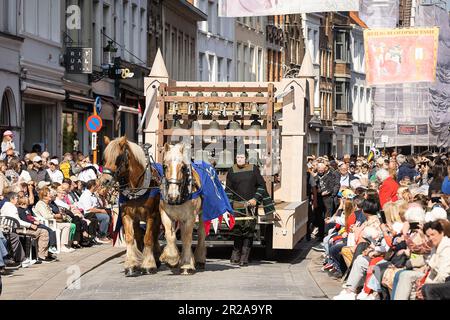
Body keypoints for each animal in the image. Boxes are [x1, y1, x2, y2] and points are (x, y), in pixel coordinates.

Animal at [100, 136, 162, 276]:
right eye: (104, 158)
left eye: (118, 158)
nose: (104, 181)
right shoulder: (126, 215)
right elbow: (130, 238)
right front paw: (131, 265)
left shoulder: (151, 215)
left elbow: (148, 238)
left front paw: (148, 265)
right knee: (138, 236)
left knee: (155, 234)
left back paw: (155, 257)